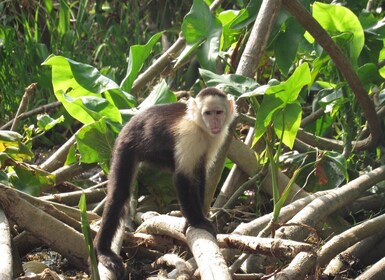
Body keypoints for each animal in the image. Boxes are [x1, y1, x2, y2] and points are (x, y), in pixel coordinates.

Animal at [93, 87, 237, 278]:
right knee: (119, 194)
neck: (201, 127)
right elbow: (182, 177)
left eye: (218, 112)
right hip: (126, 144)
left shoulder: (216, 138)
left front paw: (192, 219)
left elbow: (199, 173)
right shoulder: (189, 135)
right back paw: (103, 251)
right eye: (208, 113)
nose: (214, 122)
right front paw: (197, 221)